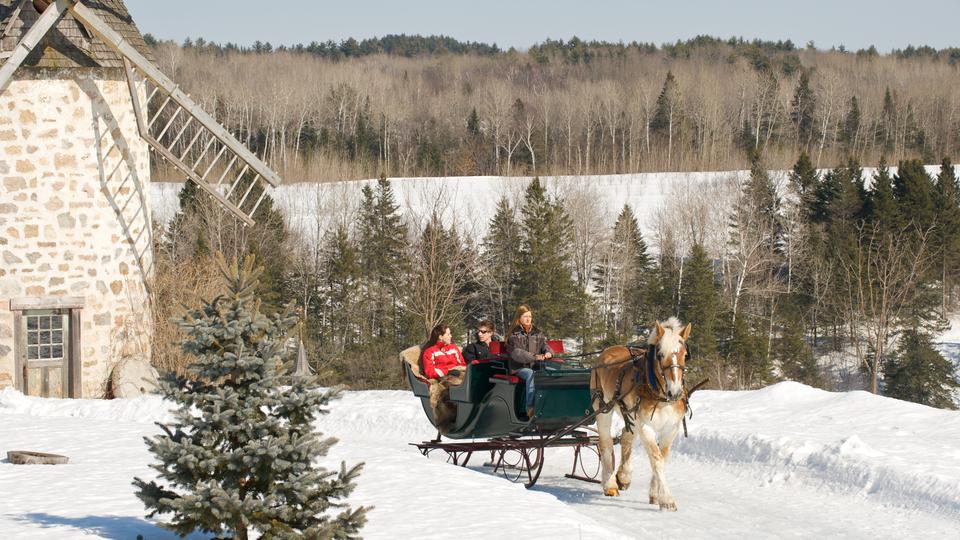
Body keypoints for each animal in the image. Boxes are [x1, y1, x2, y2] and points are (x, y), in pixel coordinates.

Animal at [592, 316, 688, 510]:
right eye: (660, 355)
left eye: (685, 355)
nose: (675, 392)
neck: (660, 397)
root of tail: (606, 352)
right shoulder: (644, 425)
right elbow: (656, 458)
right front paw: (667, 499)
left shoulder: (671, 428)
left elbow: (662, 457)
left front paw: (655, 494)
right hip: (603, 408)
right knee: (605, 443)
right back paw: (610, 484)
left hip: (628, 414)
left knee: (626, 438)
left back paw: (623, 476)